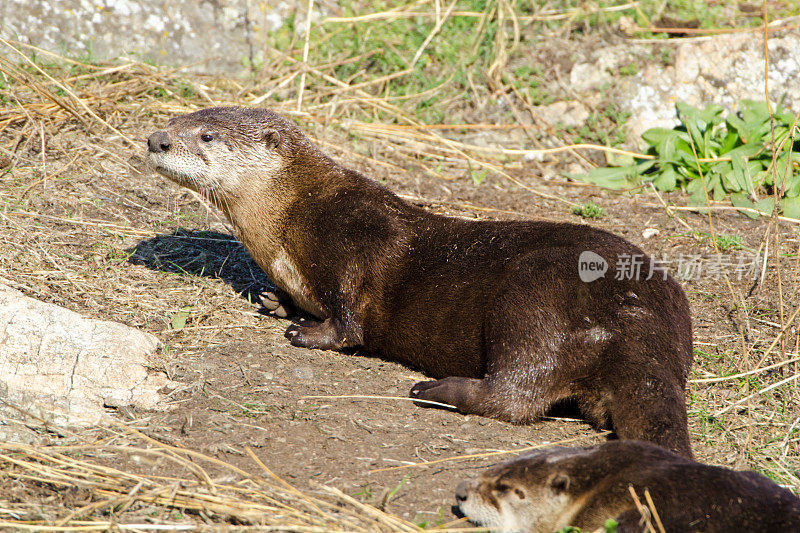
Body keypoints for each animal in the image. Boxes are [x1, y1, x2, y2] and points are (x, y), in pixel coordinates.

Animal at [148, 106, 692, 456]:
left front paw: (306, 332)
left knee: (517, 394)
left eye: (207, 135)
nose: (156, 140)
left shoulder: (354, 238)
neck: (288, 219)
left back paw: (434, 389)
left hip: (534, 297)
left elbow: (350, 319)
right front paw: (276, 301)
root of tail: (639, 319)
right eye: (173, 120)